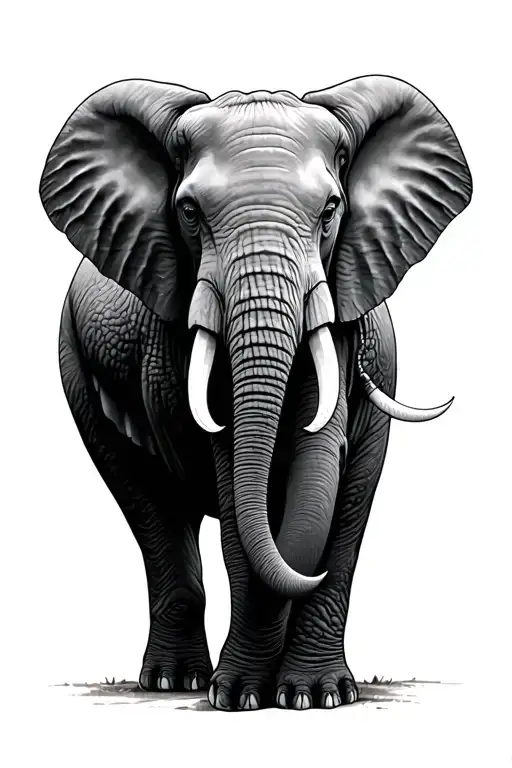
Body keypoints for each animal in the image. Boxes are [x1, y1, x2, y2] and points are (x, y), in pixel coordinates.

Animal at [40, 75, 472, 711]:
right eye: (189, 212)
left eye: (331, 210)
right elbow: (236, 487)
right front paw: (238, 696)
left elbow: (345, 500)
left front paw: (316, 697)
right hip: (73, 363)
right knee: (149, 507)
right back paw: (173, 681)